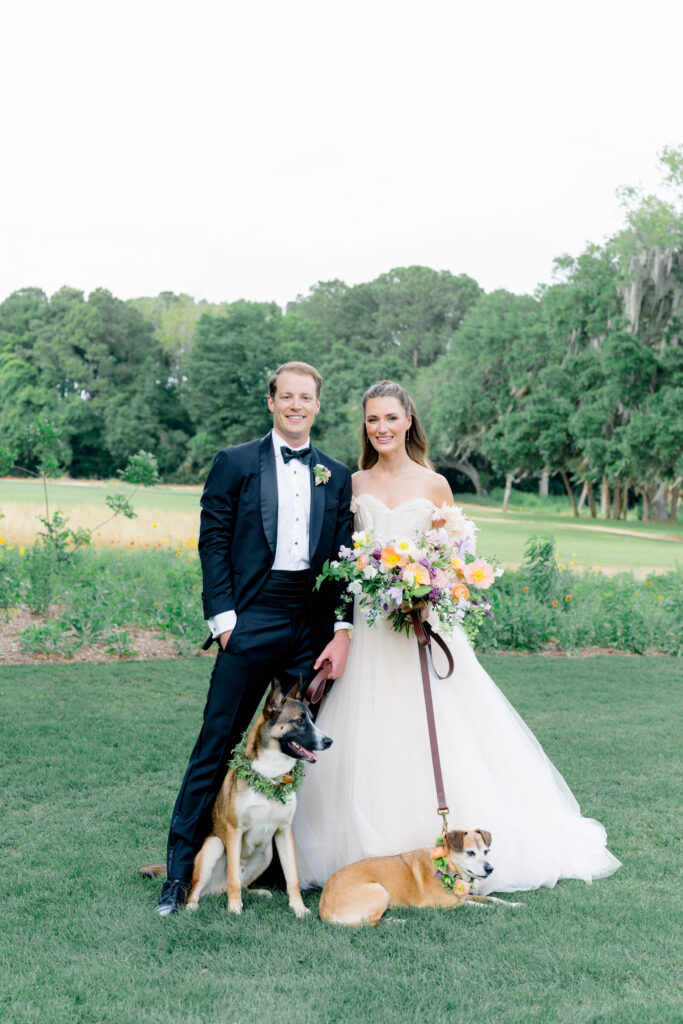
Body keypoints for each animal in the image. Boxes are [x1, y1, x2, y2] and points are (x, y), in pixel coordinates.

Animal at [141, 679, 331, 921]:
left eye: (311, 720)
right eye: (299, 721)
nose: (329, 741)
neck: (270, 777)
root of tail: (214, 888)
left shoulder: (283, 831)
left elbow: (293, 877)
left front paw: (299, 908)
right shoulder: (234, 830)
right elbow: (233, 877)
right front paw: (234, 908)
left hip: (267, 853)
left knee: (242, 884)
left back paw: (258, 892)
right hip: (214, 846)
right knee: (200, 889)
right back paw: (191, 905)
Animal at [321, 827, 524, 925]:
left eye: (486, 851)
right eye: (470, 853)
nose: (490, 869)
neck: (448, 869)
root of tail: (323, 908)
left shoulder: (464, 895)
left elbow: (494, 899)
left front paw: (514, 904)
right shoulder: (437, 904)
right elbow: (473, 905)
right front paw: (490, 909)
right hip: (379, 890)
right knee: (368, 922)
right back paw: (396, 920)